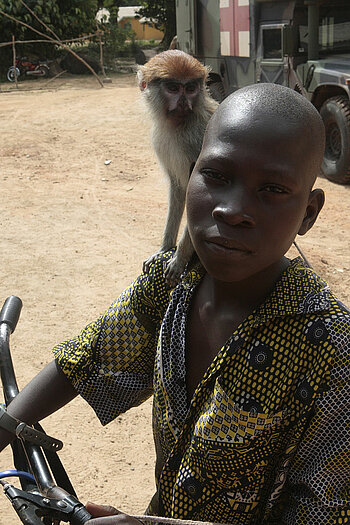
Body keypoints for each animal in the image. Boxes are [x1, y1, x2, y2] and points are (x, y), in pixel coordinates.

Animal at [137, 49, 217, 286]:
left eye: (190, 88)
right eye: (173, 88)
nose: (183, 102)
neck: (180, 124)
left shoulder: (200, 137)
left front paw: (180, 259)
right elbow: (179, 188)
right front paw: (164, 248)